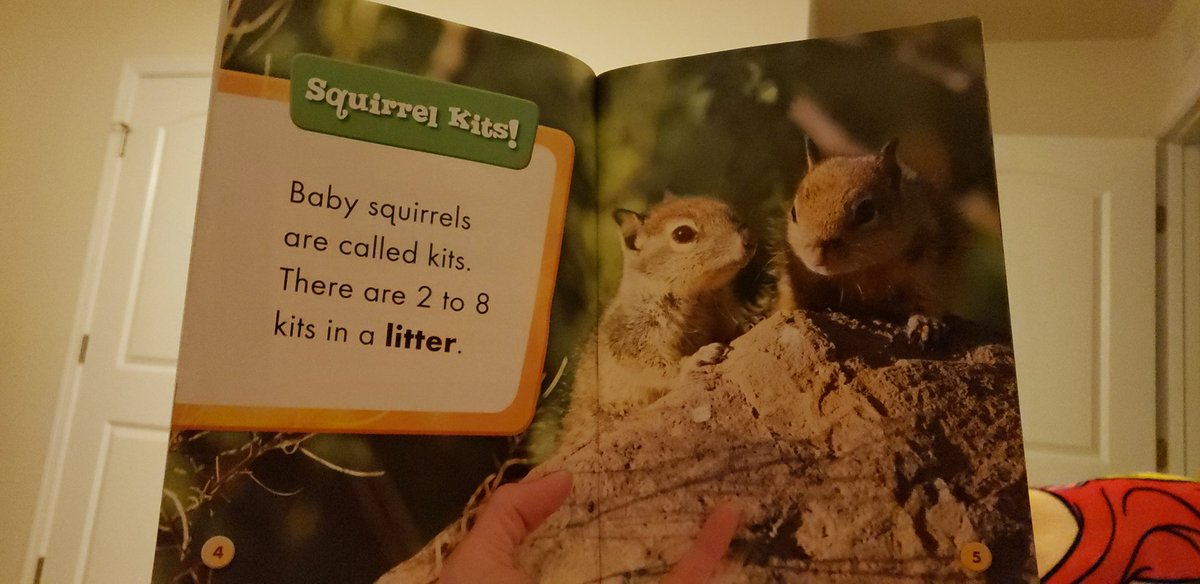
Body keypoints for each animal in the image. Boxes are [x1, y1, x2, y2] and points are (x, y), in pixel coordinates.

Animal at [557, 194, 753, 449]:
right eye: (682, 234)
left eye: (730, 213)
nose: (748, 240)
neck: (697, 295)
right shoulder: (633, 337)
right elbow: (654, 365)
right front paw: (696, 360)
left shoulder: (722, 309)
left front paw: (749, 323)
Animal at [774, 138, 965, 345]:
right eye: (793, 212)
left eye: (866, 210)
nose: (817, 256)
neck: (865, 268)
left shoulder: (931, 258)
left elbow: (928, 296)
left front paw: (926, 323)